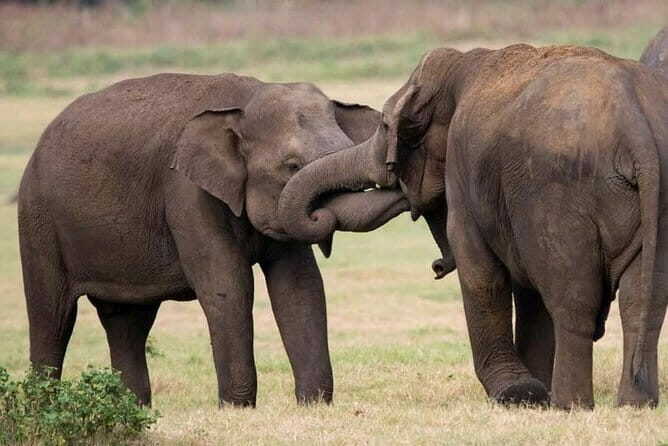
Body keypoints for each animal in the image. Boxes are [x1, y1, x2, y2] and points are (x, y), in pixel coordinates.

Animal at [17, 73, 409, 407]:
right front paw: (238, 409)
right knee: (52, 314)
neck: (245, 100)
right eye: (292, 166)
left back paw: (134, 409)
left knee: (128, 322)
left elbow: (300, 285)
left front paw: (313, 406)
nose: (404, 184)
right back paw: (41, 410)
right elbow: (228, 284)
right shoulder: (184, 189)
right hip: (37, 218)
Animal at [278, 44, 668, 409]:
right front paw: (532, 392)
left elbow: (481, 270)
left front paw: (517, 393)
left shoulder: (465, 172)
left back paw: (569, 405)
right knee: (641, 300)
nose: (436, 266)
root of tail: (637, 129)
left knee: (572, 296)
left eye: (386, 125)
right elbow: (528, 288)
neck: (464, 63)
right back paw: (634, 403)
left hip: (560, 196)